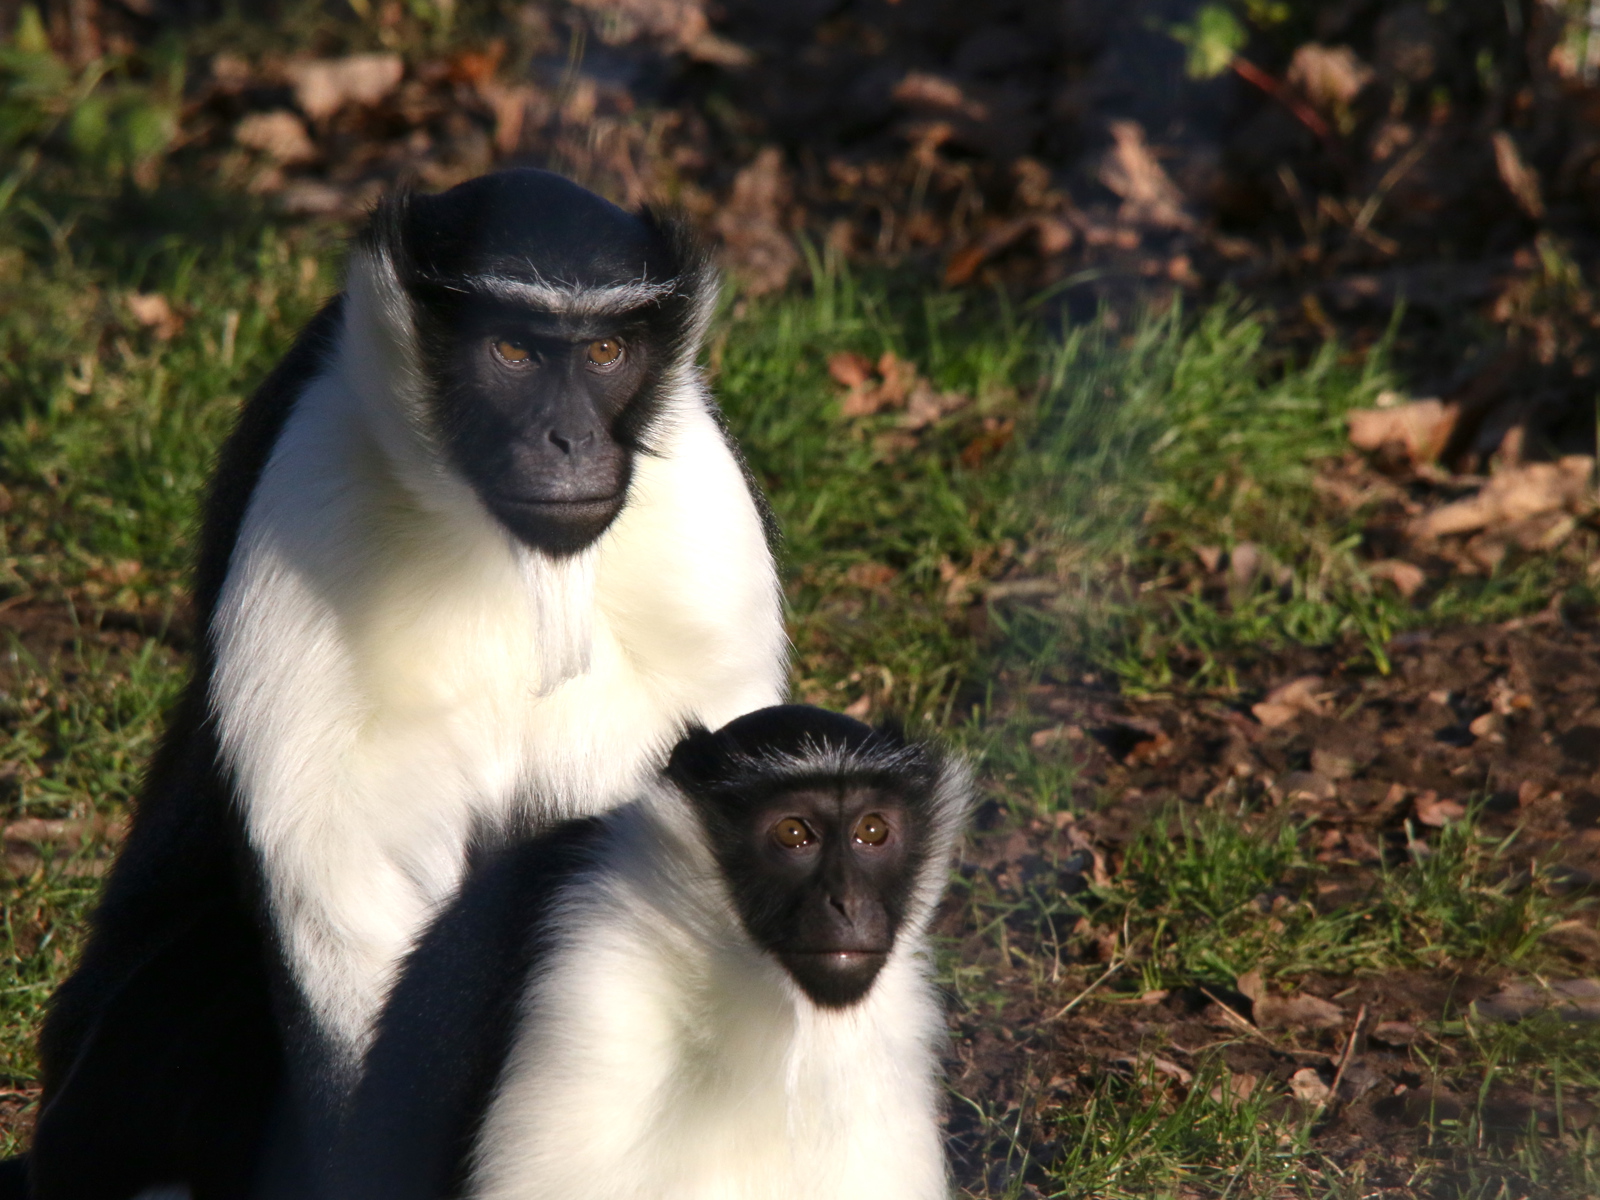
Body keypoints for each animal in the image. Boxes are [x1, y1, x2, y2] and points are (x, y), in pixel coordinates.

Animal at [24, 169, 789, 1200]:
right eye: (510, 348)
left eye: (606, 350)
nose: (571, 440)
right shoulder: (315, 469)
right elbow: (350, 869)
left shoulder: (701, 520)